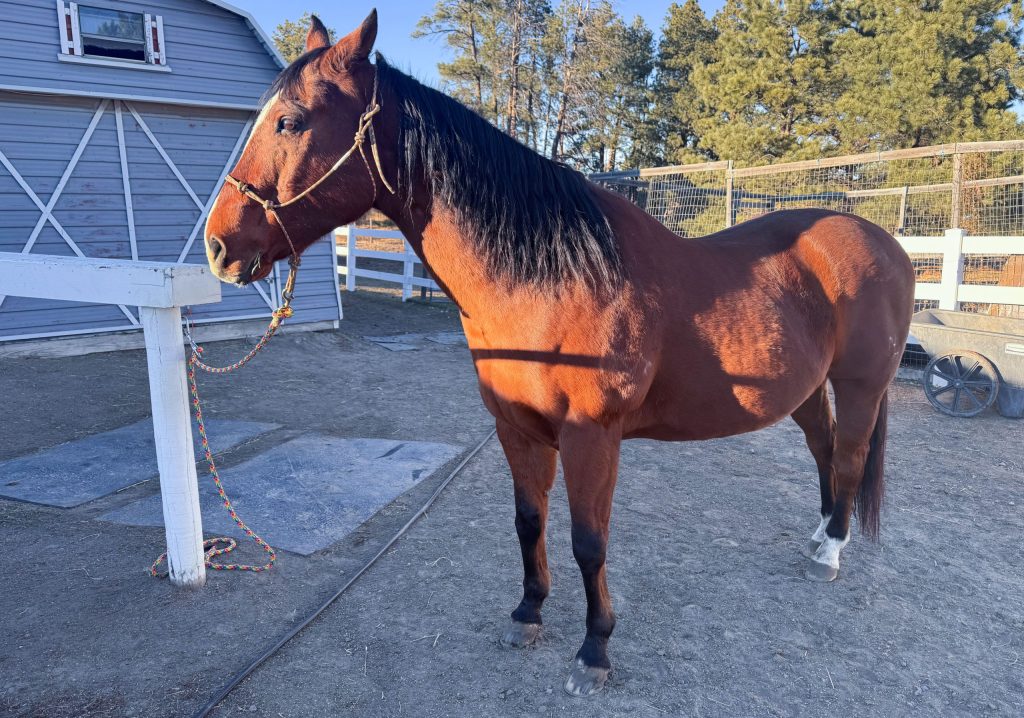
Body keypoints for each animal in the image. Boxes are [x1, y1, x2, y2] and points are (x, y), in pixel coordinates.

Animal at [203, 11, 916, 696]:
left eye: (290, 121)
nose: (217, 246)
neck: (552, 279)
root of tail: (887, 242)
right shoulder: (515, 428)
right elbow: (529, 522)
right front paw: (528, 614)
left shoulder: (591, 436)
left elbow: (588, 543)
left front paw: (594, 649)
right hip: (806, 390)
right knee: (823, 451)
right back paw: (819, 537)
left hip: (860, 386)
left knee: (849, 457)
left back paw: (831, 553)